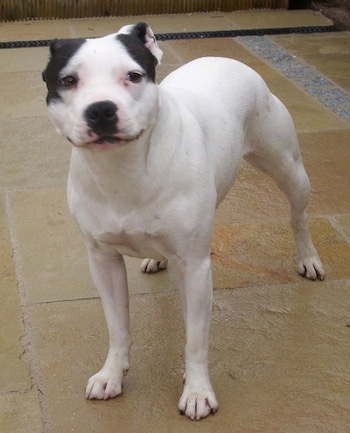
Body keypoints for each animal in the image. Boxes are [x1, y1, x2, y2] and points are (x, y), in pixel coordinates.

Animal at [41, 22, 326, 420]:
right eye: (67, 80)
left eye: (133, 76)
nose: (101, 110)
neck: (123, 169)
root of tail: (226, 58)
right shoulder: (103, 260)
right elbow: (117, 326)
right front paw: (112, 374)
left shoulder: (195, 267)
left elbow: (195, 340)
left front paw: (197, 392)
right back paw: (155, 258)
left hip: (289, 169)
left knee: (298, 216)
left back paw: (308, 259)